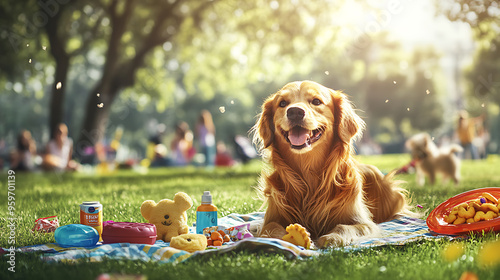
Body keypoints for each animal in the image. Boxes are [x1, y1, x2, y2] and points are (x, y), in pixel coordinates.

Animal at [252, 80, 416, 247]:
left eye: (316, 101)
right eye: (282, 103)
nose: (295, 112)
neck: (309, 173)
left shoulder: (364, 222)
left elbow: (346, 226)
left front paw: (333, 237)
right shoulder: (272, 217)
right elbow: (270, 228)